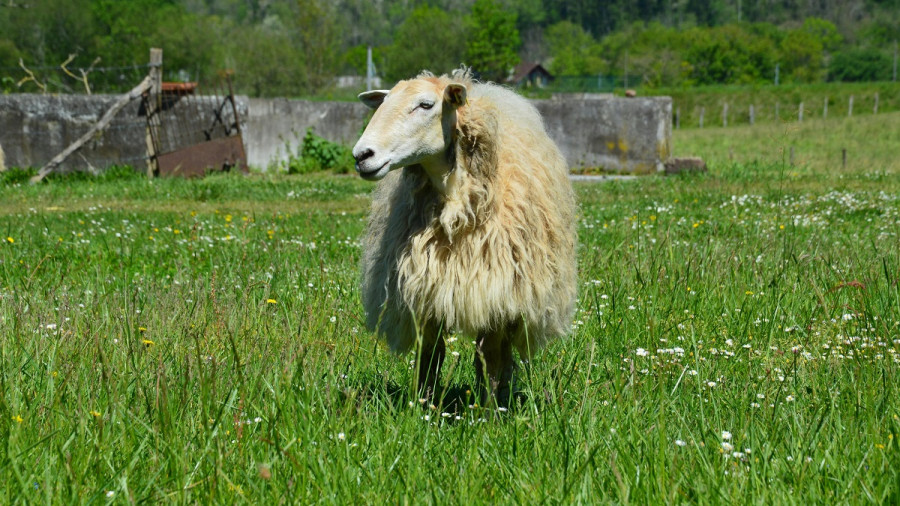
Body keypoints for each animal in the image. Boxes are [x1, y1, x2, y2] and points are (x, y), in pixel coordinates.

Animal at [352, 68, 576, 408]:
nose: (362, 155)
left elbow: (489, 358)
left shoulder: (495, 291)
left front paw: (489, 413)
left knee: (500, 355)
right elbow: (430, 355)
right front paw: (422, 407)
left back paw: (499, 399)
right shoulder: (424, 286)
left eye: (426, 105)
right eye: (384, 103)